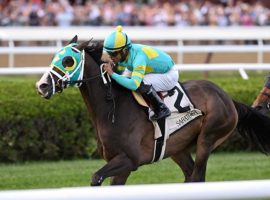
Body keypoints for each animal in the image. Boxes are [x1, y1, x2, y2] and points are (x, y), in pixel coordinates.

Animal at [35, 36, 270, 186]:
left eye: (68, 61)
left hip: (208, 138)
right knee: (189, 176)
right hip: (177, 148)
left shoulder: (129, 160)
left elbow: (96, 178)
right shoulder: (120, 165)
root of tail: (227, 98)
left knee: (197, 177)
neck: (113, 109)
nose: (42, 85)